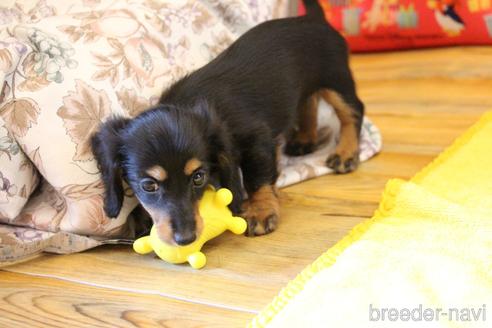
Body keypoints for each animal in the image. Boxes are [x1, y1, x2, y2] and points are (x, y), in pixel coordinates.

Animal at [90, 0, 364, 245]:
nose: (185, 239)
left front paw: (260, 210)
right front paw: (138, 218)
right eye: (148, 185)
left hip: (336, 79)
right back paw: (304, 139)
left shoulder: (257, 140)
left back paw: (346, 153)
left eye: (198, 177)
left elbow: (257, 178)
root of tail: (314, 19)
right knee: (308, 101)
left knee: (352, 111)